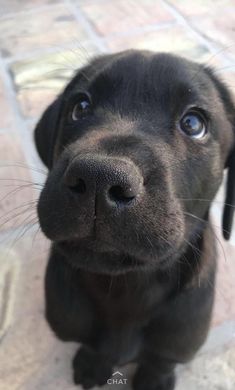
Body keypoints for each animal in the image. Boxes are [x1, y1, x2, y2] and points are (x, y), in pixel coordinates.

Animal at [35, 50, 235, 388]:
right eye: (80, 107)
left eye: (193, 123)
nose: (99, 177)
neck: (125, 287)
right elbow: (93, 348)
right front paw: (92, 365)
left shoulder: (177, 344)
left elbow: (159, 363)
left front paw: (153, 381)